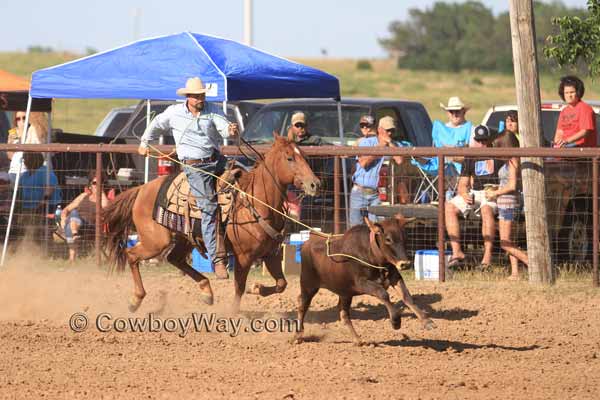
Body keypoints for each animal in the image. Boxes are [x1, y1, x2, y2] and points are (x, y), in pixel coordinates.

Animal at [101, 134, 322, 312]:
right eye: (290, 158)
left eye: (304, 155)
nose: (315, 184)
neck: (257, 202)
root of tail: (142, 189)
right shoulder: (244, 257)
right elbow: (239, 287)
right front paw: (233, 313)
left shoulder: (271, 254)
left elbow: (281, 284)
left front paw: (257, 288)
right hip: (155, 241)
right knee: (132, 255)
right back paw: (135, 300)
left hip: (184, 239)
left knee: (175, 259)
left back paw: (207, 292)